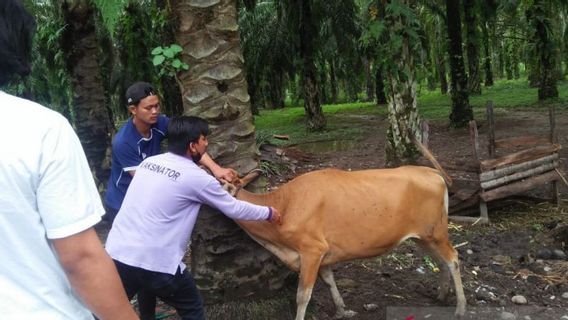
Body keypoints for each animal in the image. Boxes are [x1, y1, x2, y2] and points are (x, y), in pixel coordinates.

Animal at [231, 166, 466, 318]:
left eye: (225, 185)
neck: (284, 206)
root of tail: (430, 170)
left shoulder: (312, 249)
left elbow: (303, 296)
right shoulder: (323, 255)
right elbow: (329, 280)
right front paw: (343, 309)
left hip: (437, 233)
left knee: (453, 259)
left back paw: (460, 307)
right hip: (423, 237)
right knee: (441, 261)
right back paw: (442, 295)